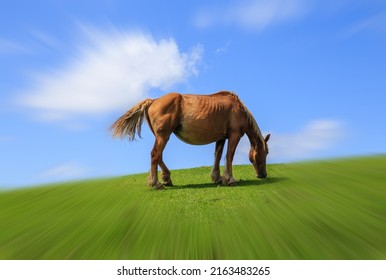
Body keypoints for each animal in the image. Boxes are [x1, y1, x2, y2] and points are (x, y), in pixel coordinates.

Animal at [110, 91, 270, 189]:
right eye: (267, 152)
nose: (263, 175)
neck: (239, 109)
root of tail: (153, 100)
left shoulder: (221, 138)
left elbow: (218, 156)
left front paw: (217, 177)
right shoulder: (234, 135)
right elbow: (229, 155)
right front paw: (230, 179)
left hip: (161, 136)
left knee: (159, 156)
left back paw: (166, 178)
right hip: (163, 135)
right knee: (155, 154)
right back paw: (156, 183)